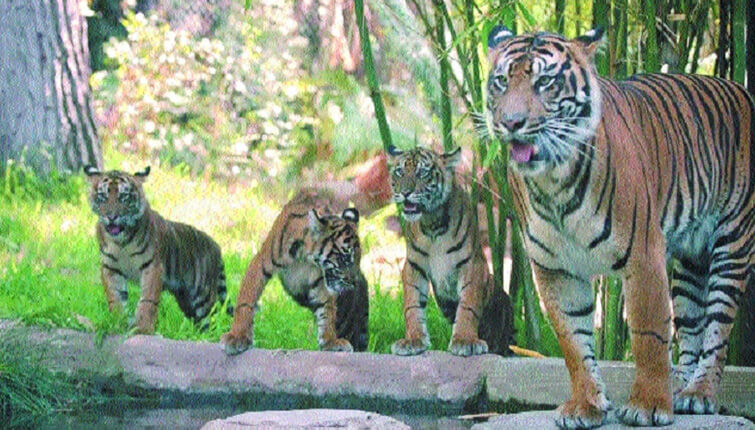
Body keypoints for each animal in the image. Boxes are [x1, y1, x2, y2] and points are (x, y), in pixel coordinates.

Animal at [83, 166, 230, 334]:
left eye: (124, 197)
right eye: (103, 196)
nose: (111, 217)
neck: (121, 242)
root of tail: (217, 247)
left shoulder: (152, 266)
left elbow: (148, 300)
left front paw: (143, 328)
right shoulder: (110, 268)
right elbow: (116, 297)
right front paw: (118, 322)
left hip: (202, 298)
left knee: (211, 320)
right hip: (185, 300)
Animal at [220, 190, 370, 354]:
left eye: (358, 259)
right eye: (345, 258)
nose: (354, 282)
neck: (305, 256)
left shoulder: (320, 280)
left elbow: (327, 309)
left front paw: (330, 341)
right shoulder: (260, 264)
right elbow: (246, 302)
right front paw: (238, 337)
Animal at [390, 144, 512, 356]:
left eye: (422, 173)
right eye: (399, 172)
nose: (405, 192)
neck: (431, 224)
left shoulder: (472, 265)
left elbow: (468, 306)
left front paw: (465, 341)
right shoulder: (413, 266)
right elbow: (412, 306)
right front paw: (413, 340)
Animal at [488, 25, 752, 428]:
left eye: (545, 82)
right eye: (501, 81)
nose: (511, 122)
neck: (553, 182)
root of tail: (742, 90)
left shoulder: (643, 256)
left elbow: (648, 334)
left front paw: (648, 405)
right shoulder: (554, 268)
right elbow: (573, 341)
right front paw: (586, 405)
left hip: (733, 243)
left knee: (717, 328)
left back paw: (699, 393)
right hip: (692, 260)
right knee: (692, 325)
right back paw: (682, 390)